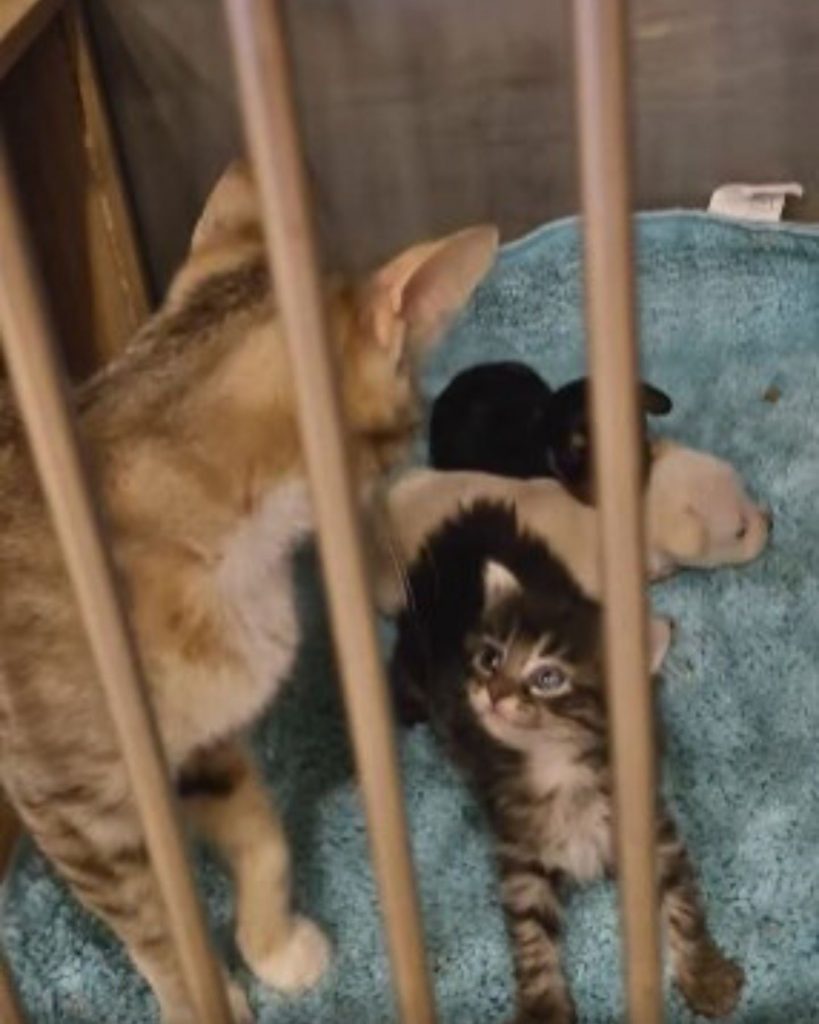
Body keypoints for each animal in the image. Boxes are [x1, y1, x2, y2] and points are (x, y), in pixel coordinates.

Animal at [0, 161, 499, 1024]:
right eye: (409, 414)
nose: (413, 444)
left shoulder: (201, 741)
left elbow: (261, 832)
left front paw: (272, 944)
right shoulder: (76, 806)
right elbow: (158, 923)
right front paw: (203, 997)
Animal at [393, 503, 745, 1024]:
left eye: (548, 678)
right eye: (491, 658)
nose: (492, 692)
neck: (560, 765)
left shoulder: (648, 824)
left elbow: (681, 899)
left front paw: (706, 972)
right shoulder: (520, 850)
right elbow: (531, 933)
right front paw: (543, 1006)